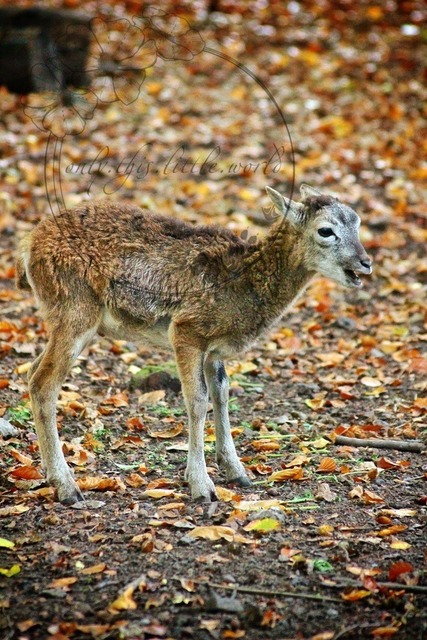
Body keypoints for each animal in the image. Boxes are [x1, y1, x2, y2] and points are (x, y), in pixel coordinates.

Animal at [16, 184, 372, 504]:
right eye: (325, 230)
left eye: (357, 222)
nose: (365, 262)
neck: (244, 288)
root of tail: (28, 245)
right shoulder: (187, 330)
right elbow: (198, 400)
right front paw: (202, 487)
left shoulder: (214, 350)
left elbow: (222, 393)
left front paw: (237, 472)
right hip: (75, 310)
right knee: (44, 382)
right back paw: (68, 488)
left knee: (33, 371)